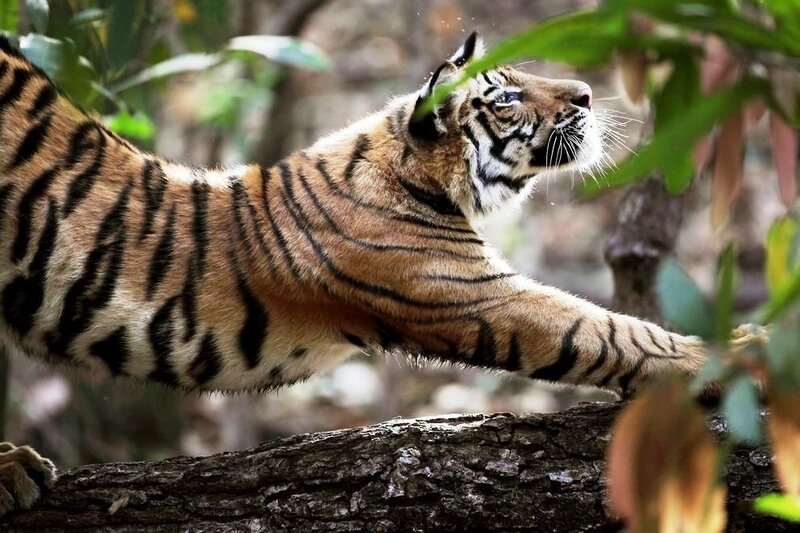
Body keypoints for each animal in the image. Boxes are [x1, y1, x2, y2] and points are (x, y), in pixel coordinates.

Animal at [0, 31, 709, 516]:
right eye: (507, 97)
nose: (587, 93)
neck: (420, 169)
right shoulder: (476, 295)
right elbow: (605, 330)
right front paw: (723, 357)